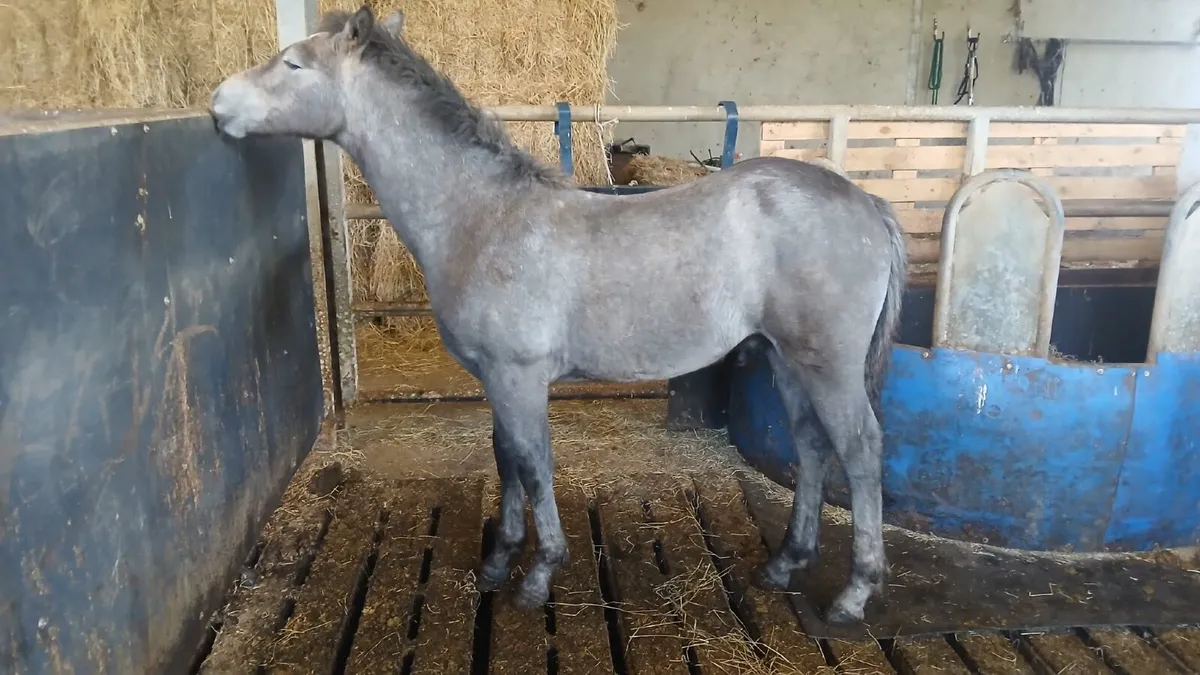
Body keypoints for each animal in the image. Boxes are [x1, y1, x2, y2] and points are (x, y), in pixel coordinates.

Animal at [210, 5, 907, 625]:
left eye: (294, 64)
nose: (217, 107)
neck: (481, 217)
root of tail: (866, 202)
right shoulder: (495, 378)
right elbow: (506, 458)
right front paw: (498, 561)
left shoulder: (520, 376)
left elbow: (535, 463)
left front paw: (538, 574)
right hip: (787, 361)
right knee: (812, 446)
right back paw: (785, 563)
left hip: (828, 366)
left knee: (860, 449)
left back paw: (852, 594)